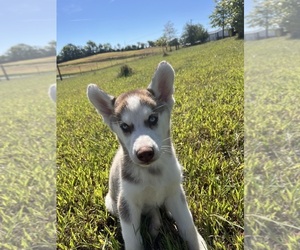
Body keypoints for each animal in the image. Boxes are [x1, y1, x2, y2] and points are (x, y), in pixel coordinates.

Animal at [87, 61, 206, 250]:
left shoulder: (175, 193)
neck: (153, 173)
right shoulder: (126, 203)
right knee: (152, 209)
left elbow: (188, 226)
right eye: (125, 126)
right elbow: (133, 240)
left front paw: (197, 242)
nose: (144, 153)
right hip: (111, 203)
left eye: (152, 119)